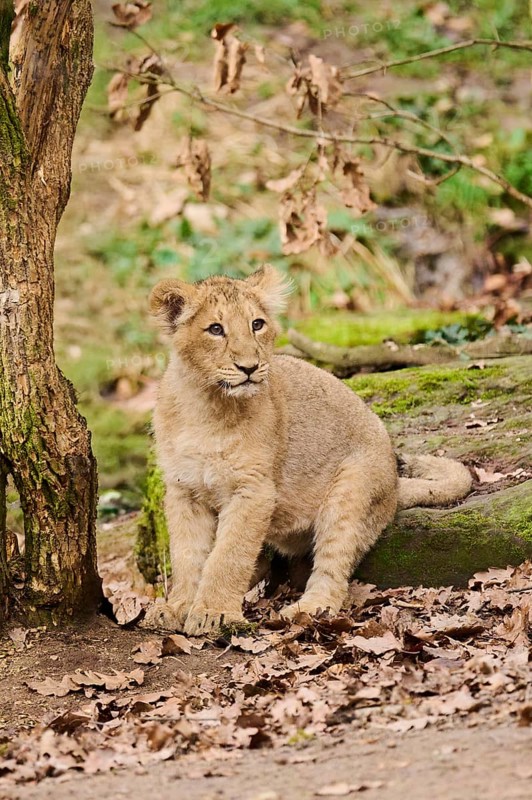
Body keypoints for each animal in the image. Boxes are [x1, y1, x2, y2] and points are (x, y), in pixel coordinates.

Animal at [143, 265, 472, 635]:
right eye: (215, 329)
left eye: (257, 324)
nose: (249, 367)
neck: (205, 405)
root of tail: (394, 486)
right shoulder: (184, 490)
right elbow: (187, 556)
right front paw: (177, 607)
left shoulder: (254, 489)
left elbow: (229, 555)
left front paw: (215, 612)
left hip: (351, 489)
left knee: (333, 571)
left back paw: (303, 611)